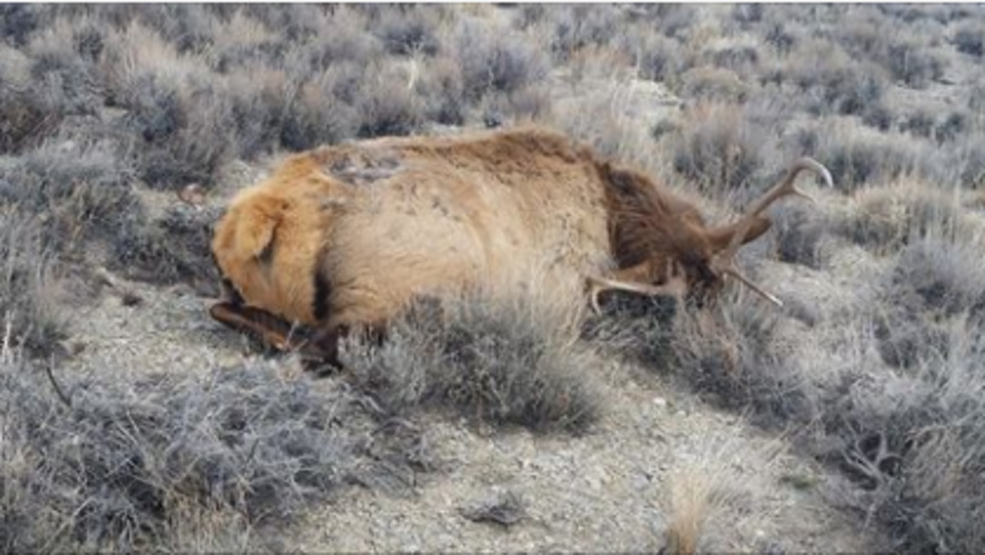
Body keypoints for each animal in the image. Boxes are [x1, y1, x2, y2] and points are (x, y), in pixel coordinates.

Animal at [209, 126, 832, 368]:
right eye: (699, 291)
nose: (724, 348)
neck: (615, 214)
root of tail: (265, 212)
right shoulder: (567, 292)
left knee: (226, 307)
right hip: (394, 292)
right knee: (320, 345)